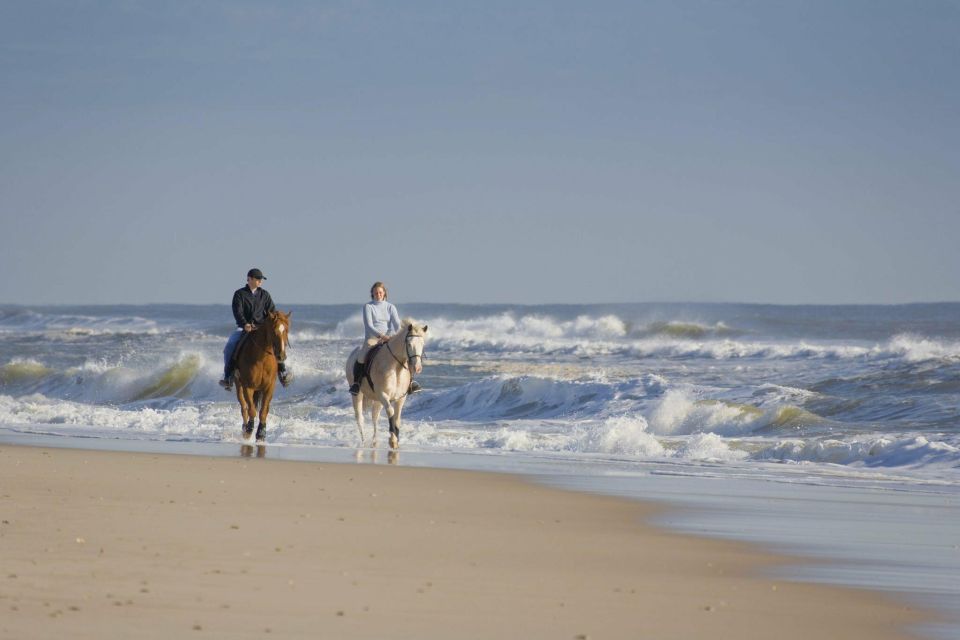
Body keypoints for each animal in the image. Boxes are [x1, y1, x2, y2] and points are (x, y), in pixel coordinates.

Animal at [234, 308, 290, 440]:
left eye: (286, 330)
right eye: (274, 331)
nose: (281, 356)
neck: (262, 359)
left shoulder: (269, 387)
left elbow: (263, 411)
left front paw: (261, 432)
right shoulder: (248, 387)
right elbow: (251, 410)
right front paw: (249, 429)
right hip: (238, 385)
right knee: (243, 407)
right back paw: (245, 427)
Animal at [342, 320, 424, 450]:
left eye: (422, 344)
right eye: (409, 344)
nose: (417, 367)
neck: (396, 368)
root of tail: (354, 353)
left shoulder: (401, 398)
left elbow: (397, 418)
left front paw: (396, 439)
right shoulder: (383, 395)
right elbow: (391, 412)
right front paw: (392, 440)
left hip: (377, 400)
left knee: (374, 417)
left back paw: (375, 442)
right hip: (358, 395)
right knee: (360, 418)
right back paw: (363, 442)